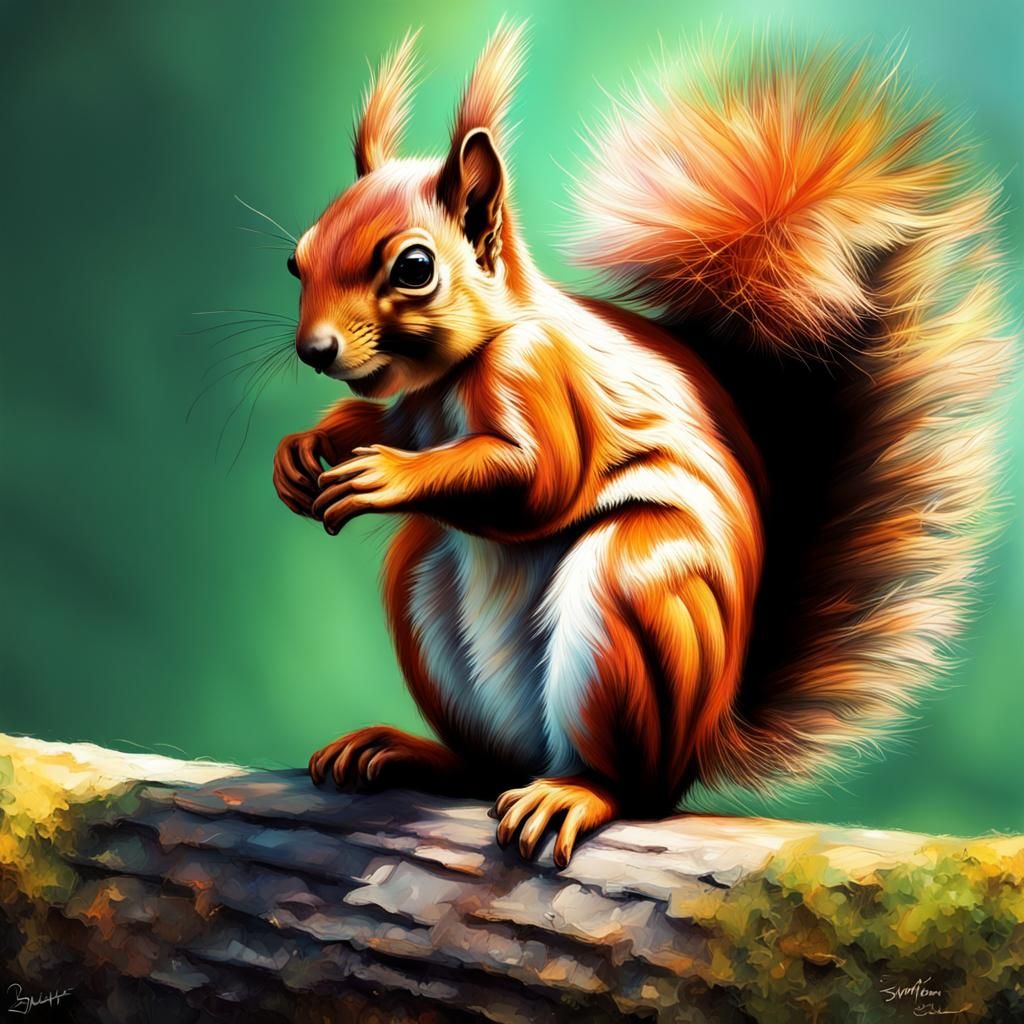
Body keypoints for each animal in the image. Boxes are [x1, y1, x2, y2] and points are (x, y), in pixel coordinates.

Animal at [272, 24, 1013, 867]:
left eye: (415, 267)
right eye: (296, 260)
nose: (314, 350)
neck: (458, 372)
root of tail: (703, 738)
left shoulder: (543, 378)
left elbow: (539, 481)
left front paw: (387, 476)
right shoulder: (417, 408)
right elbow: (385, 422)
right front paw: (307, 445)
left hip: (634, 594)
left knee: (628, 785)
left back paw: (575, 792)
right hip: (426, 586)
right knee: (484, 764)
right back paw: (406, 751)